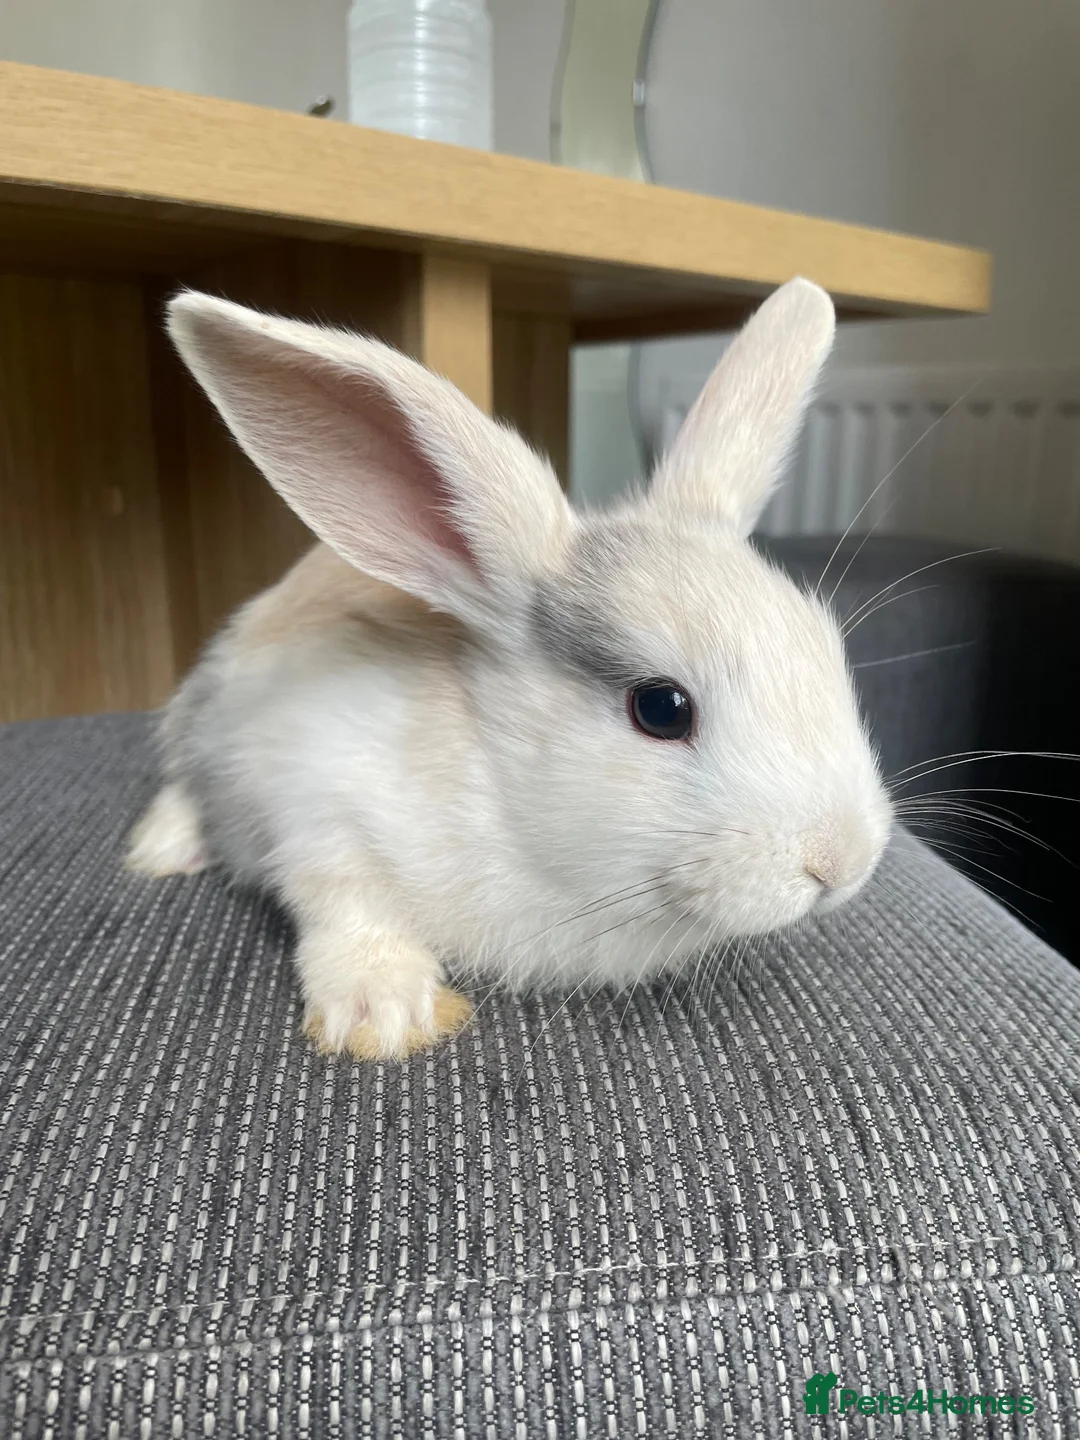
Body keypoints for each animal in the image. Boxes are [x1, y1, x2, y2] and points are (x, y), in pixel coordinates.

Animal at [127, 277, 893, 1060]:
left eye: (827, 651)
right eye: (661, 708)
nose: (842, 862)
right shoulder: (314, 795)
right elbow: (342, 900)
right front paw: (386, 1013)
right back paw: (160, 851)